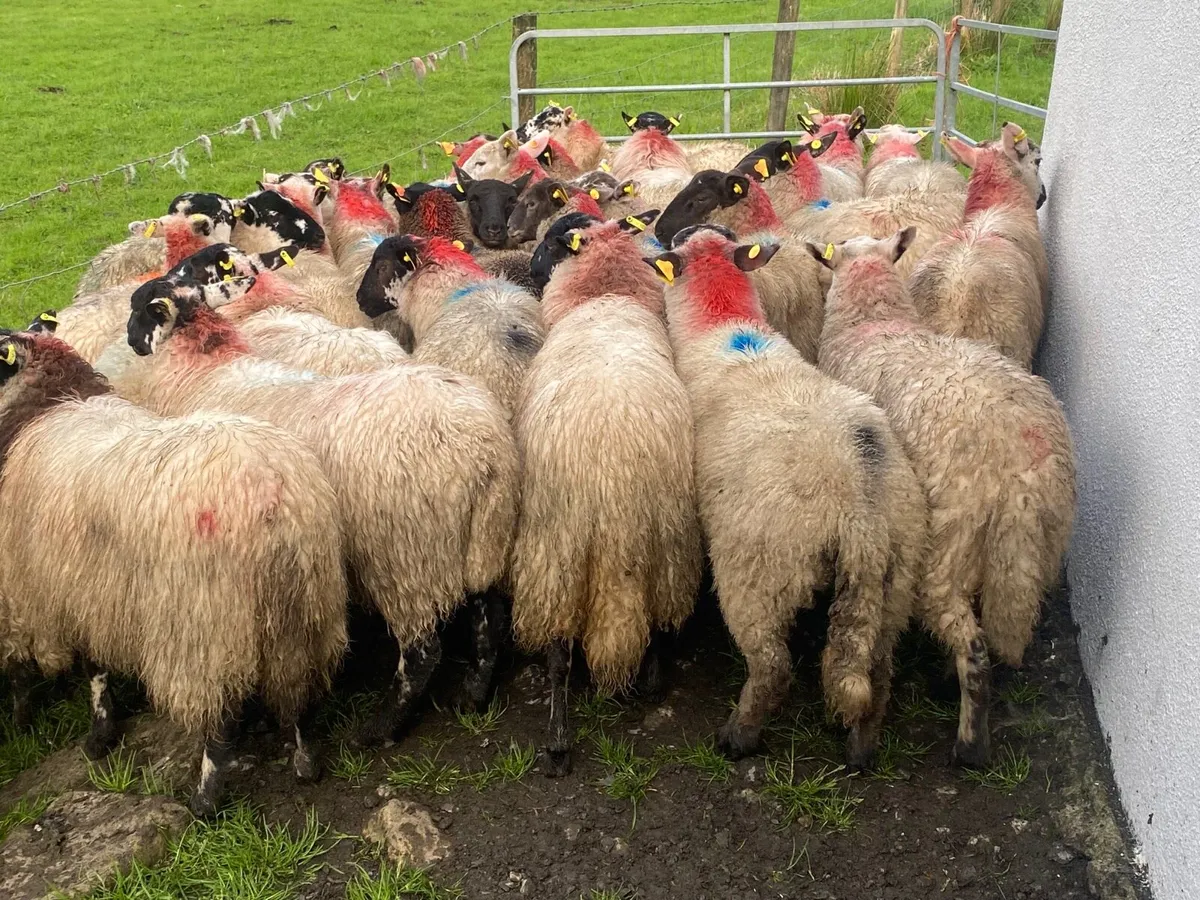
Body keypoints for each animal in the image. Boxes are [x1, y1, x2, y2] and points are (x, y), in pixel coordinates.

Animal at [0, 329, 348, 816]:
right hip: (305, 607)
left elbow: (93, 668)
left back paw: (205, 798)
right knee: (298, 692)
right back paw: (305, 761)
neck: (50, 405)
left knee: (220, 720)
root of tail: (271, 491)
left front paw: (96, 737)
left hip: (204, 624)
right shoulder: (93, 589)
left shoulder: (77, 587)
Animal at [104, 278, 520, 738]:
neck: (208, 369)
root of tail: (484, 452)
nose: (128, 341)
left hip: (405, 557)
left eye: (141, 309)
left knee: (423, 651)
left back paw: (381, 727)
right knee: (489, 615)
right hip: (486, 536)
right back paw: (473, 694)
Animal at [513, 215, 702, 775]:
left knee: (559, 652)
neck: (607, 293)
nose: (530, 270)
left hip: (556, 554)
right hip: (659, 543)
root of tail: (610, 476)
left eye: (552, 242)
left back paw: (558, 740)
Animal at [650, 227, 926, 763]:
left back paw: (738, 736)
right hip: (896, 579)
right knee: (878, 670)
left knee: (772, 666)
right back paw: (860, 749)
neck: (723, 324)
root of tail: (860, 516)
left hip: (761, 570)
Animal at [813, 229, 1076, 767]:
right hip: (1037, 547)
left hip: (948, 548)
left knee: (972, 647)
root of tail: (1022, 470)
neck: (874, 323)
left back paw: (969, 744)